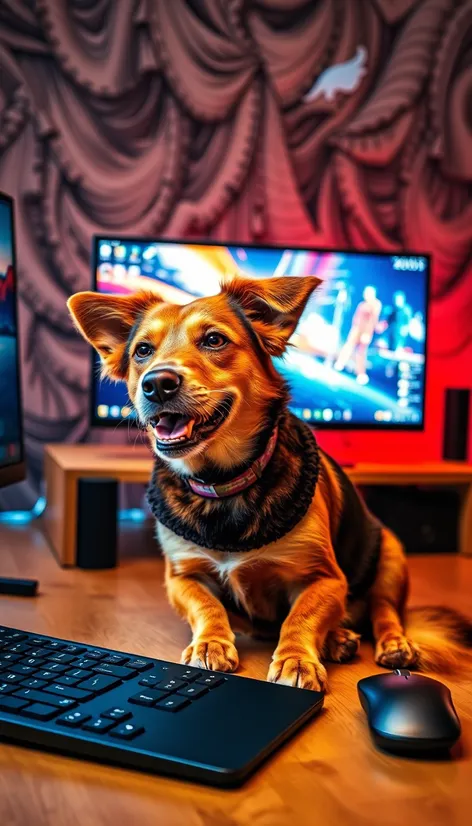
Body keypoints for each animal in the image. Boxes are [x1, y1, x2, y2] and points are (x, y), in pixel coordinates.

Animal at [68, 276, 472, 688]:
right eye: (142, 351)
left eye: (214, 340)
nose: (157, 383)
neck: (223, 483)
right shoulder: (182, 576)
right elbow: (207, 605)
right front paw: (211, 643)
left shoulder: (327, 579)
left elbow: (300, 616)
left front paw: (296, 659)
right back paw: (338, 637)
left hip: (390, 551)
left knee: (384, 609)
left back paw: (388, 643)